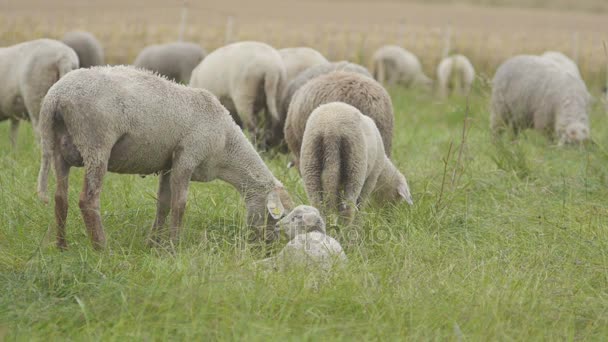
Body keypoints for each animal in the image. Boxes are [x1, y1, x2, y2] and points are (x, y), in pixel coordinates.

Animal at [36, 65, 294, 250]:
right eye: (276, 218)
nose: (269, 247)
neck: (226, 147)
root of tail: (55, 97)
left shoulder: (168, 165)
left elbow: (163, 204)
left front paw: (153, 244)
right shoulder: (187, 157)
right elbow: (180, 205)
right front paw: (174, 246)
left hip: (60, 149)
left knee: (60, 198)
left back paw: (62, 246)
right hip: (96, 142)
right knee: (87, 200)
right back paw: (102, 248)